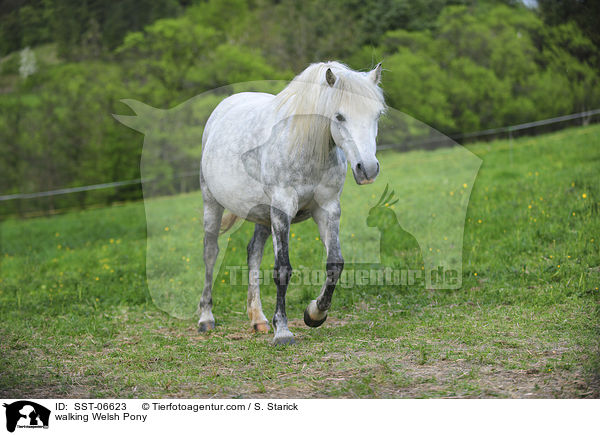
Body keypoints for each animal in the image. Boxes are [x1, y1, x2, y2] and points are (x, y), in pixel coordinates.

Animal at [198, 61, 384, 346]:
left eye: (377, 115)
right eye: (339, 116)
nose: (368, 169)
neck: (304, 146)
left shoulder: (327, 208)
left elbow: (335, 264)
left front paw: (314, 314)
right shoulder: (282, 209)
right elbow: (282, 269)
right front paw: (283, 331)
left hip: (263, 215)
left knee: (253, 252)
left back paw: (258, 319)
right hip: (212, 203)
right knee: (210, 253)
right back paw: (206, 318)